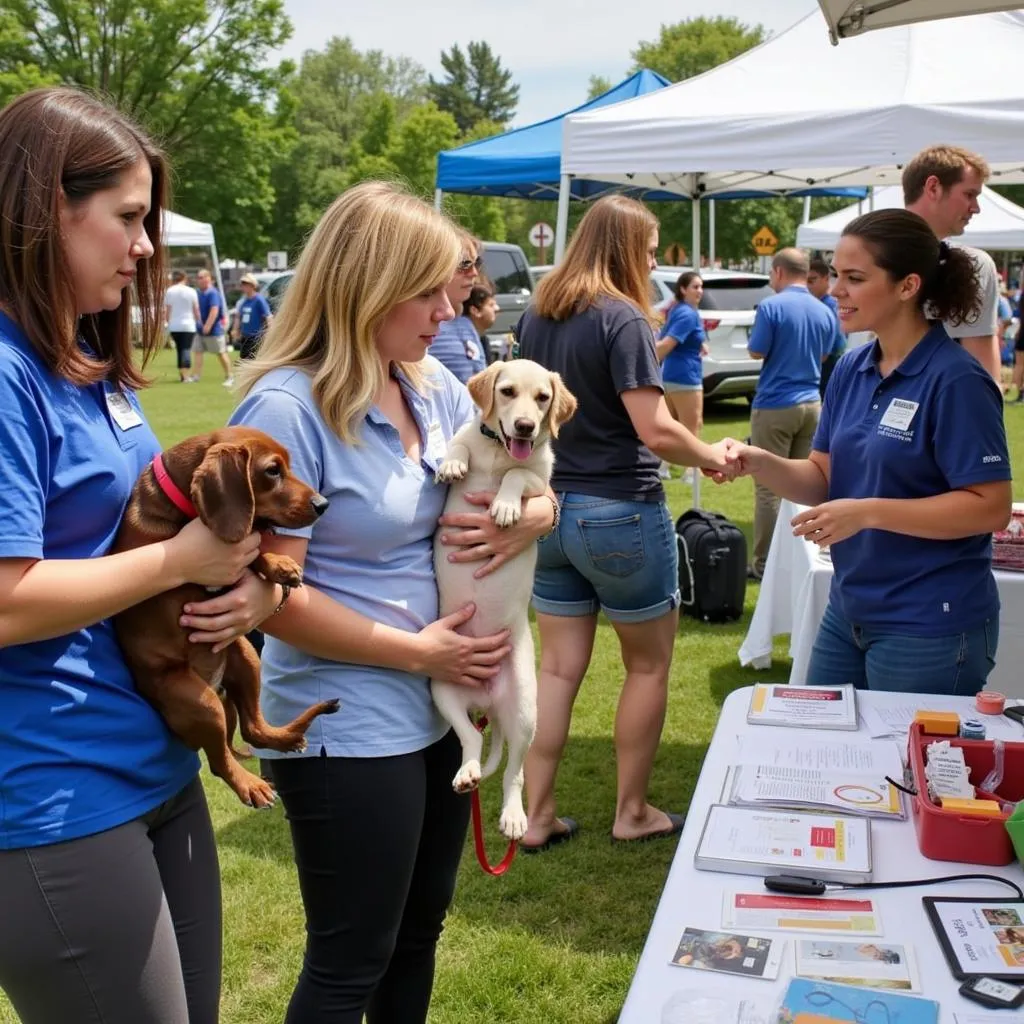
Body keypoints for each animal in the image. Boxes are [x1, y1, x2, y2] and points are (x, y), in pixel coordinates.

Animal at [432, 360, 577, 839]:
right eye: (508, 391)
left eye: (543, 398)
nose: (526, 426)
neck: (500, 454)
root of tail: (487, 702)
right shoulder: (470, 437)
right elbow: (459, 440)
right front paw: (452, 464)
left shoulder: (540, 478)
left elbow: (518, 475)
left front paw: (505, 507)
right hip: (443, 690)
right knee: (471, 738)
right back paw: (467, 773)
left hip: (527, 711)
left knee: (516, 770)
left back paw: (514, 816)